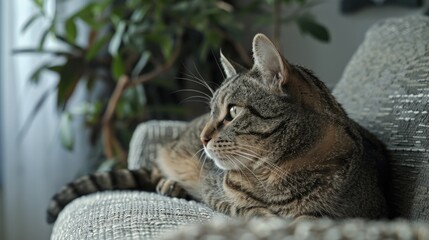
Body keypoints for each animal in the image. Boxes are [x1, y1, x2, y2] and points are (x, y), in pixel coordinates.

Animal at [47, 33, 388, 223]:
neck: (275, 174)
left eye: (233, 112)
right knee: (158, 168)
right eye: (211, 111)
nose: (203, 137)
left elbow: (312, 217)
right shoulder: (218, 196)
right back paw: (170, 184)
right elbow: (246, 209)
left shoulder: (365, 211)